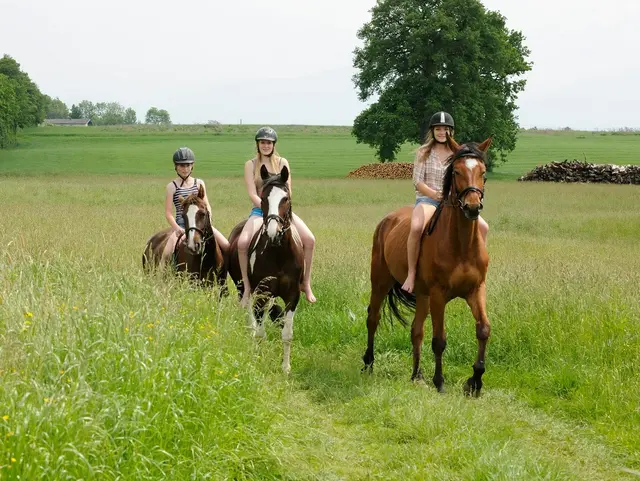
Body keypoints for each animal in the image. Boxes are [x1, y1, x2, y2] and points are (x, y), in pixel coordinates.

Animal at [226, 165, 304, 376]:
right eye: (263, 198)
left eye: (286, 198)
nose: (273, 232)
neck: (279, 253)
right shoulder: (261, 294)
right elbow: (260, 332)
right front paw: (258, 361)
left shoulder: (292, 296)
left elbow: (287, 334)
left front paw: (286, 367)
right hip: (243, 289)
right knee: (250, 319)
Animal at [362, 137, 492, 396]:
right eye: (457, 171)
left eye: (483, 172)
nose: (472, 207)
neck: (461, 245)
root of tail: (387, 220)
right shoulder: (439, 295)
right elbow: (439, 340)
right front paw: (440, 382)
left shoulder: (475, 290)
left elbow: (483, 329)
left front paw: (475, 382)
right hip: (380, 281)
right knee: (373, 318)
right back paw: (369, 363)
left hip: (422, 295)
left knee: (416, 331)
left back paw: (417, 375)